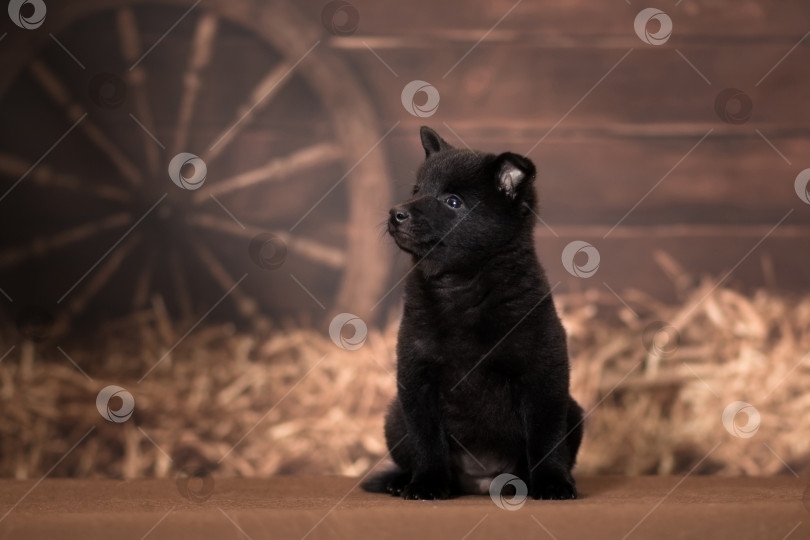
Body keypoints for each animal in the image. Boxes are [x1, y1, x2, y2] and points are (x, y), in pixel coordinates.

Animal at [362, 124, 584, 500]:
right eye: (417, 190)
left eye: (453, 201)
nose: (396, 212)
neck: (460, 284)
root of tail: (481, 481)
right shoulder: (417, 376)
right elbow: (427, 440)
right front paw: (427, 483)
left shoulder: (543, 375)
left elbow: (546, 438)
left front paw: (553, 482)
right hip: (394, 418)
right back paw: (400, 480)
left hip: (575, 413)